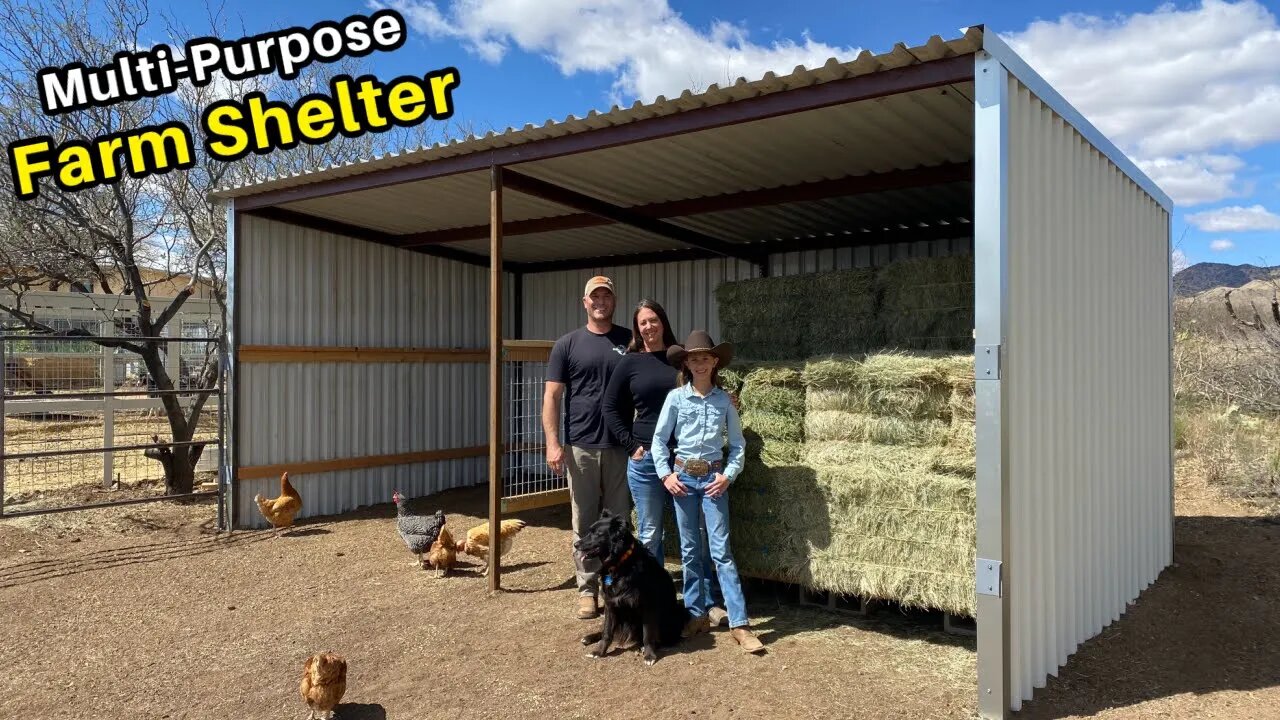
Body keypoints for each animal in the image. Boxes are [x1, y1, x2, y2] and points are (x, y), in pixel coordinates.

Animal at [573, 507, 691, 666]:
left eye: (597, 534)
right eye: (589, 531)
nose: (576, 545)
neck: (620, 563)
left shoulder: (648, 605)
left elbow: (648, 634)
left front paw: (649, 655)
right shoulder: (610, 603)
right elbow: (607, 632)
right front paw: (599, 651)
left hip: (675, 613)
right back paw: (590, 637)